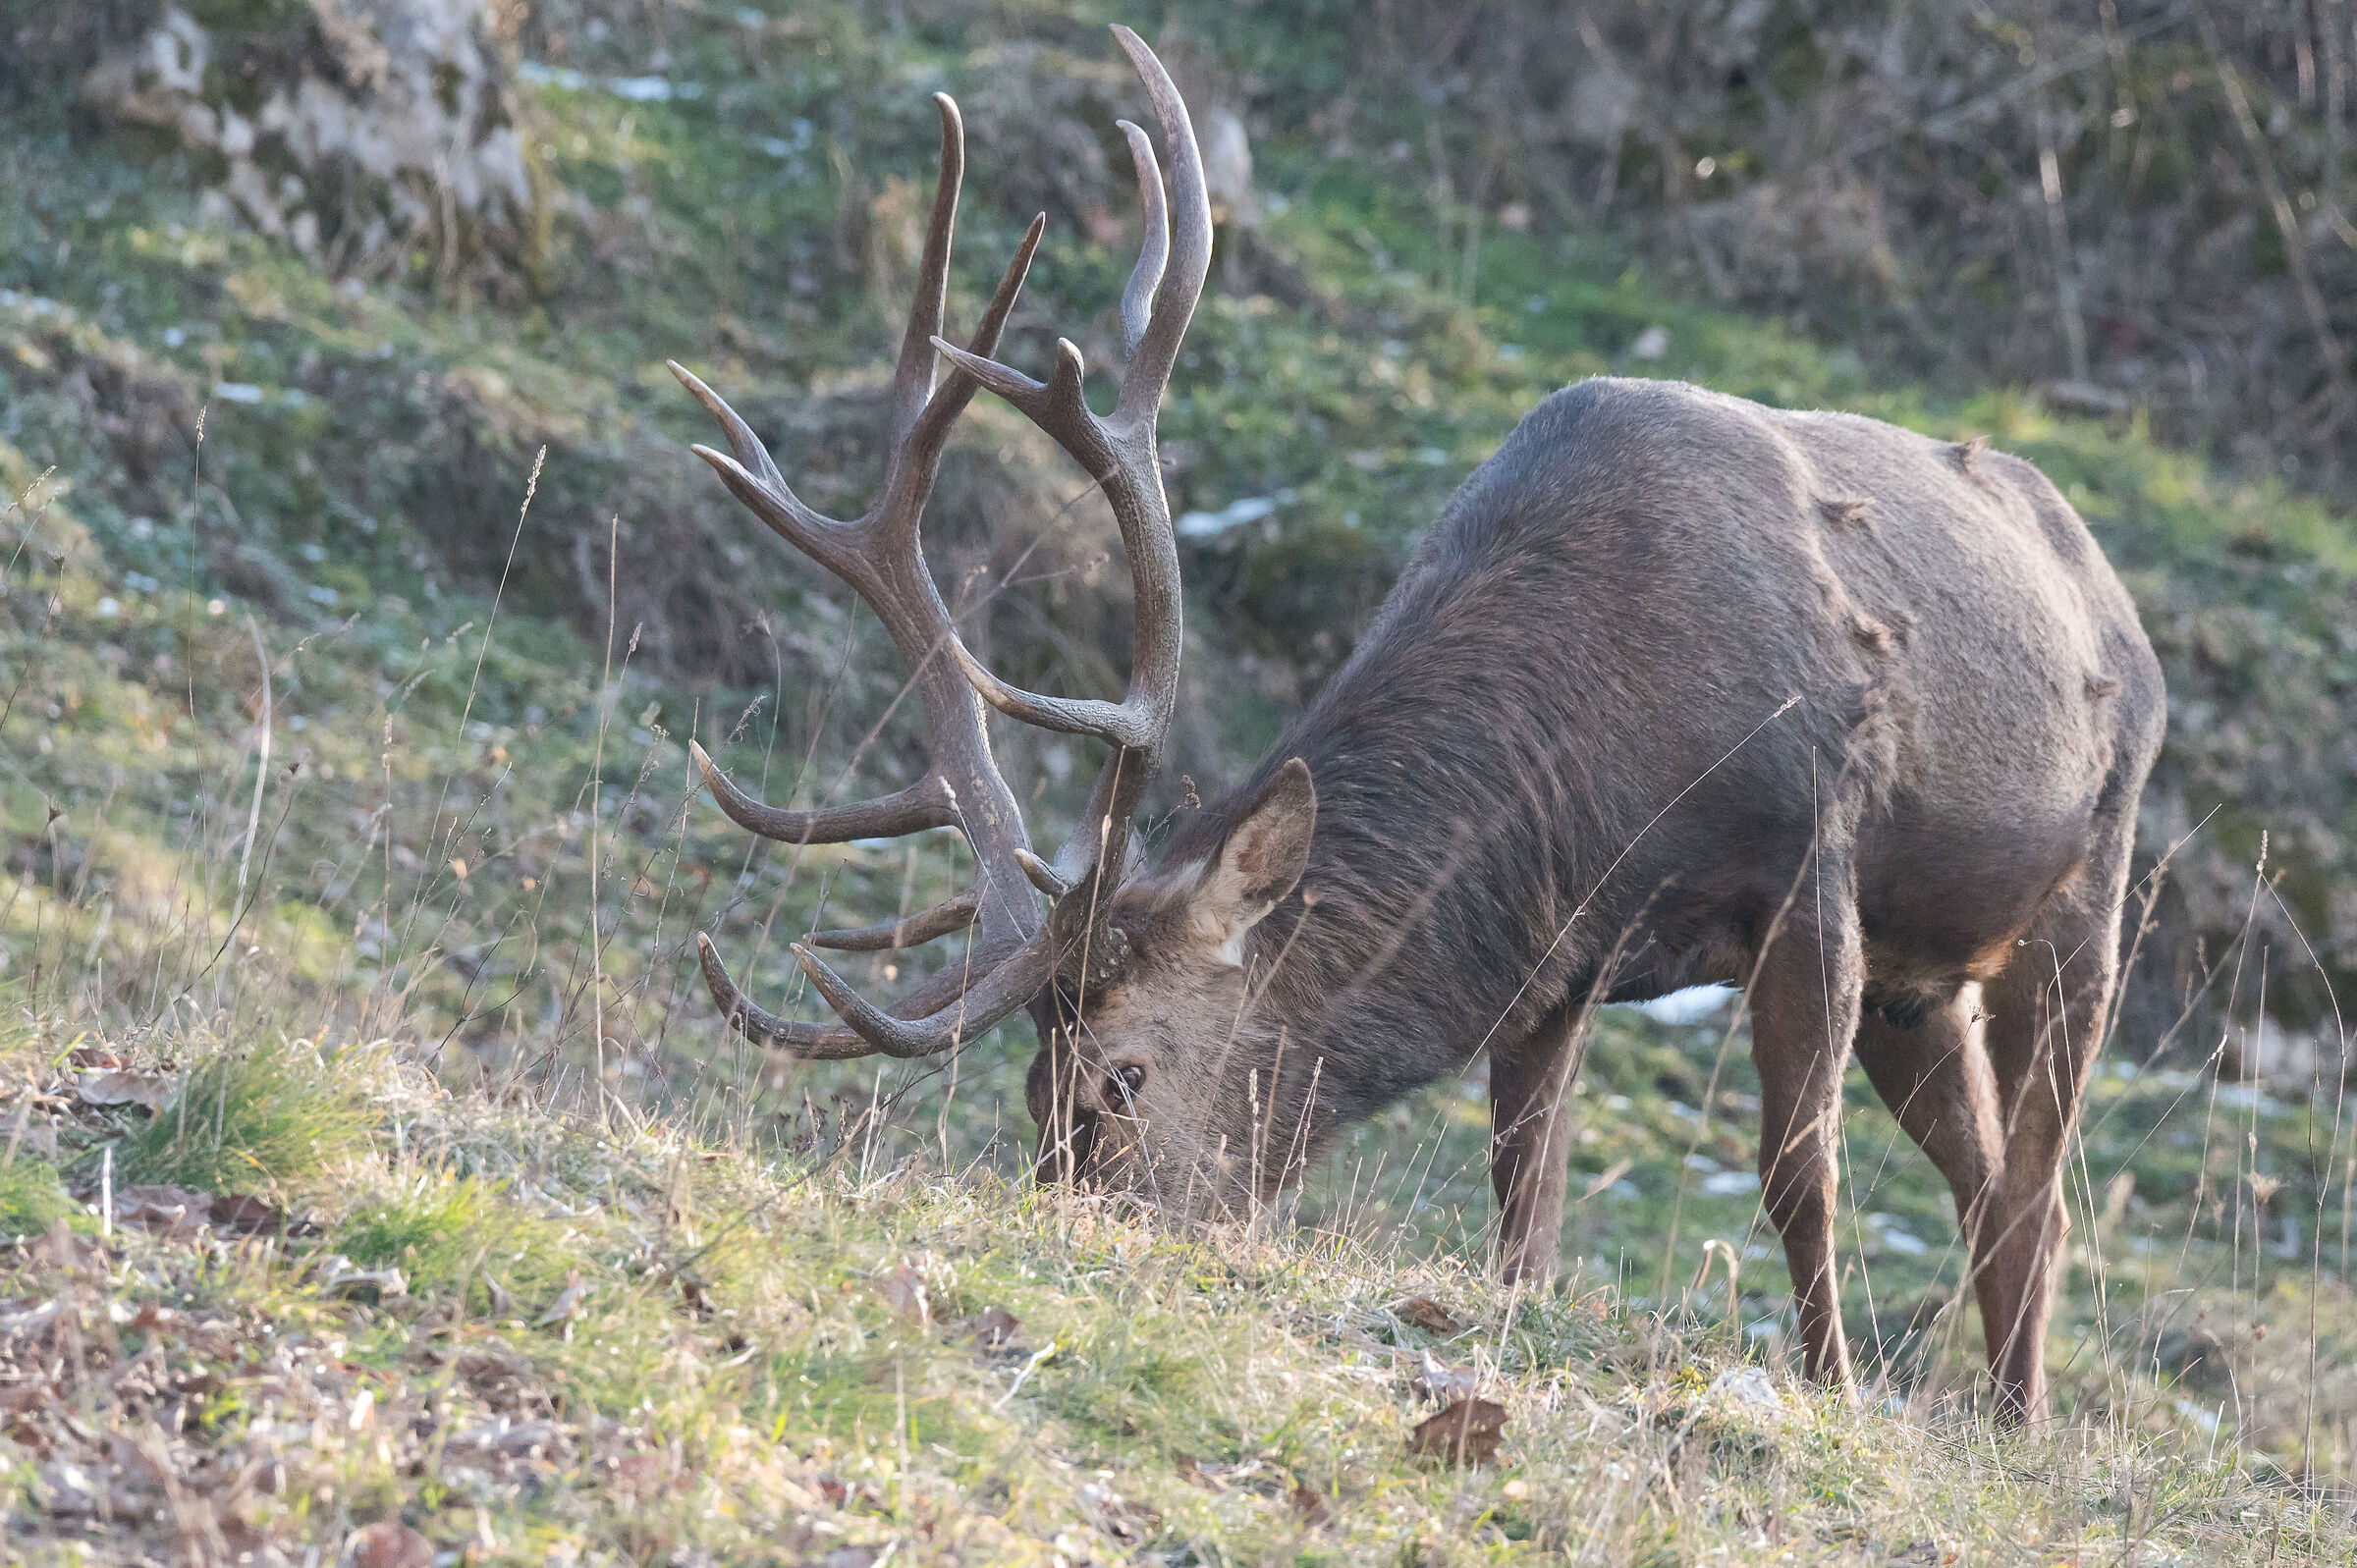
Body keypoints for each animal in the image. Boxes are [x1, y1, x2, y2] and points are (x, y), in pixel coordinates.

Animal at [668, 27, 2165, 1425]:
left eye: (1123, 1077)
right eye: (1031, 1092)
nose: (1085, 1232)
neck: (1609, 744)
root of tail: (2108, 587)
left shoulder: (1813, 855)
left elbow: (1799, 1173)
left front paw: (1834, 1388)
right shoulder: (1564, 951)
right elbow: (1524, 1205)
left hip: (2090, 877)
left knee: (2039, 1182)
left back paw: (2019, 1420)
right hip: (1928, 979)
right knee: (1992, 1177)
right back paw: (2009, 1405)